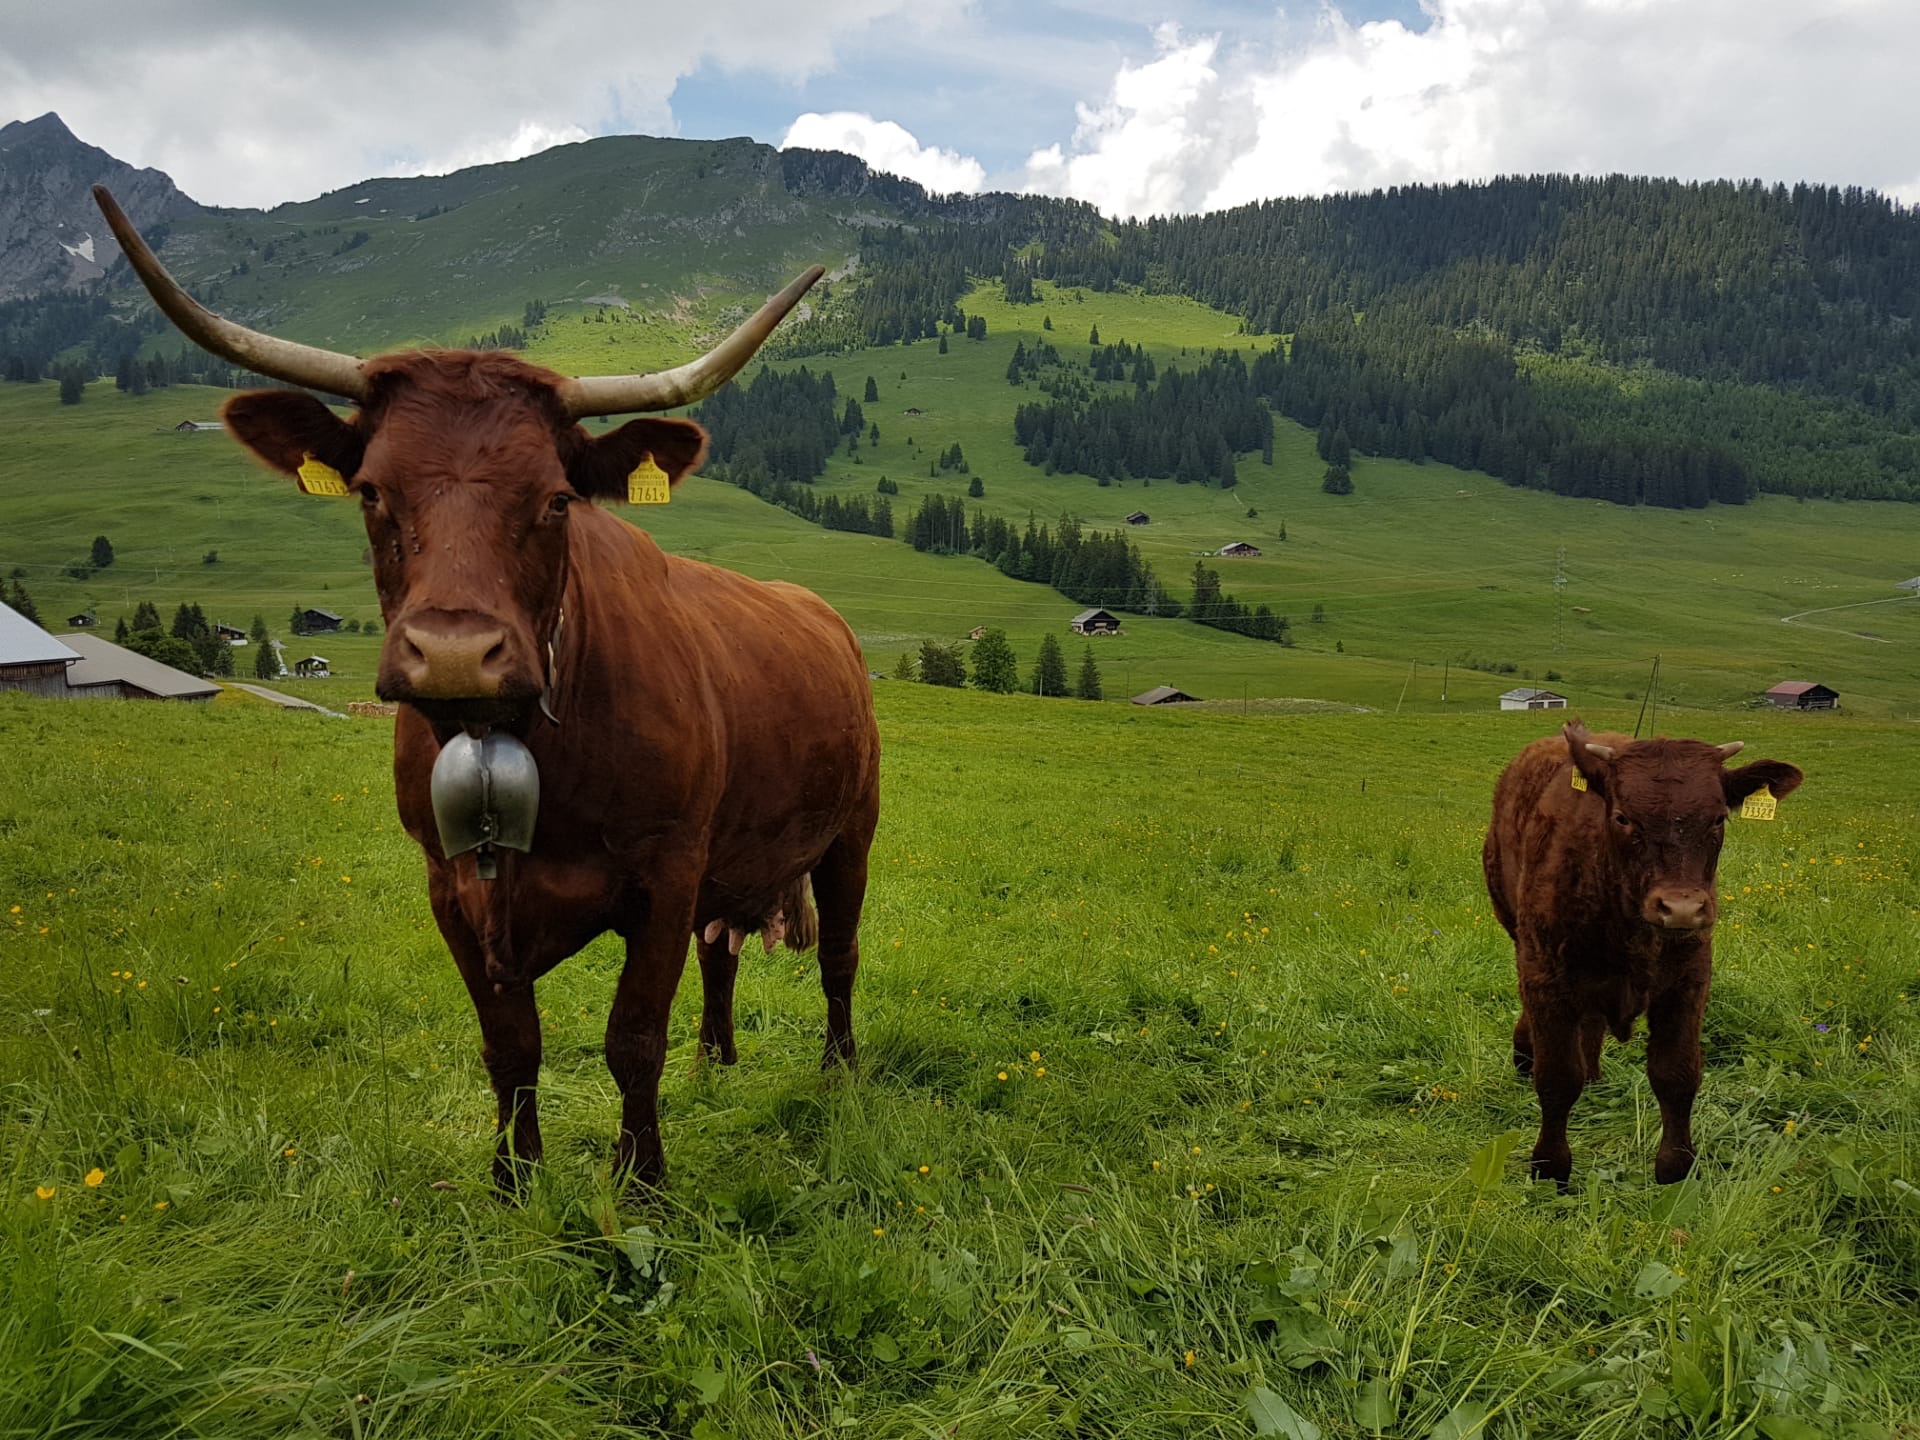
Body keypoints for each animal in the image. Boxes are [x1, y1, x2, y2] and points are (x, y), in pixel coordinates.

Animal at [93, 186, 881, 1193]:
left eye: (556, 498)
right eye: (371, 492)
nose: (456, 653)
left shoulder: (667, 871)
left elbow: (633, 1039)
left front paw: (642, 1181)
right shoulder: (451, 884)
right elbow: (510, 1043)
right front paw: (514, 1181)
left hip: (851, 830)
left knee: (841, 958)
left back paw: (839, 1072)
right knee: (722, 955)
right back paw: (718, 1061)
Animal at [1482, 720, 1801, 1186]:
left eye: (1719, 817)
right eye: (1623, 817)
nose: (1681, 907)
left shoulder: (1688, 980)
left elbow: (1677, 1074)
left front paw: (1676, 1168)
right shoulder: (1545, 971)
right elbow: (1557, 1076)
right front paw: (1550, 1168)